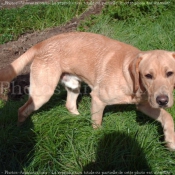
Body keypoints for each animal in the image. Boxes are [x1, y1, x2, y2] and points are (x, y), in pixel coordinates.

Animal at [1, 33, 175, 150]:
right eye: (148, 75)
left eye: (170, 73)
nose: (163, 100)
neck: (130, 75)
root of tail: (42, 43)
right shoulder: (98, 99)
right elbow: (97, 124)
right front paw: (99, 138)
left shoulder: (144, 104)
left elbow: (168, 116)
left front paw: (170, 140)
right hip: (43, 94)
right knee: (22, 110)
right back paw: (21, 130)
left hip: (73, 85)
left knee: (69, 105)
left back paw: (77, 120)